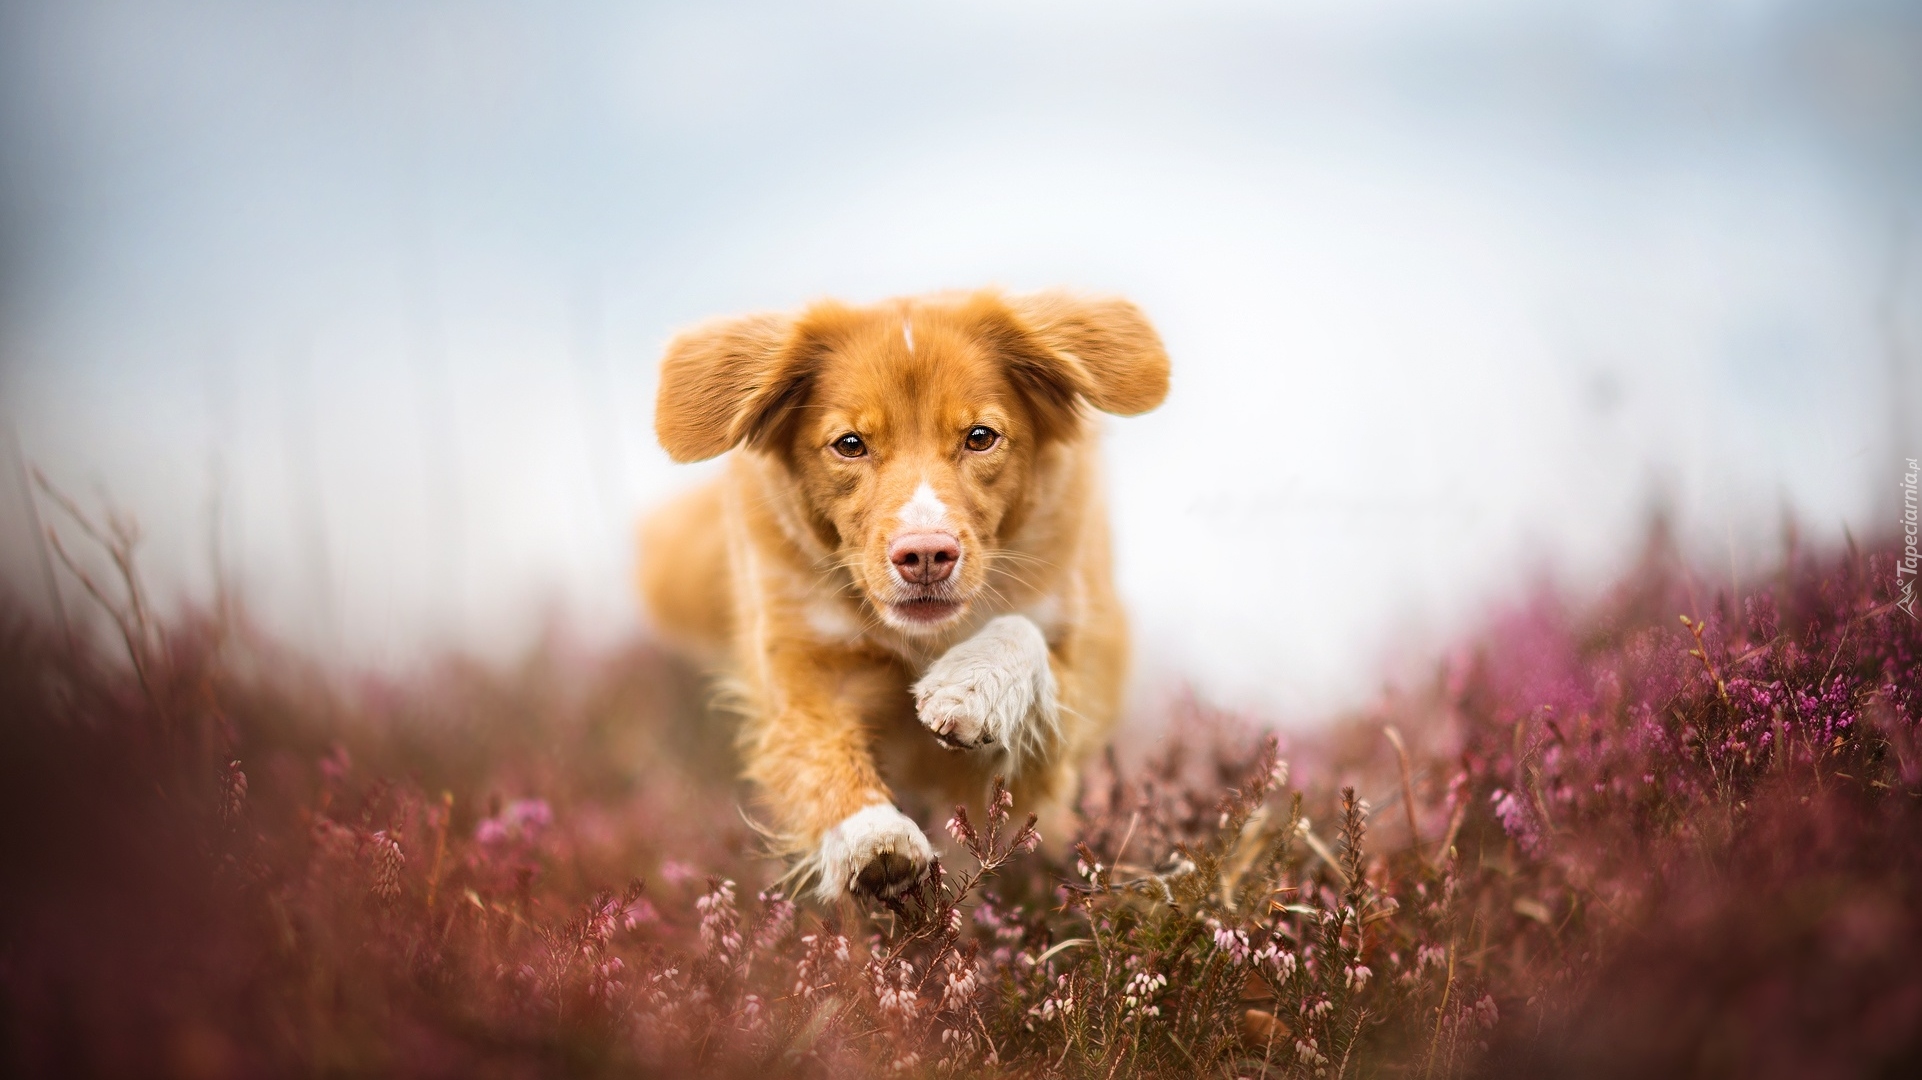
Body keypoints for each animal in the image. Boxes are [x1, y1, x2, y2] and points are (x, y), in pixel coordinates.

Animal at [638, 288, 1160, 899]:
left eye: (980, 437)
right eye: (849, 445)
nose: (927, 555)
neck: (923, 638)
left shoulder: (1054, 744)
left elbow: (1020, 631)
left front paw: (970, 686)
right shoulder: (801, 661)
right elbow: (820, 755)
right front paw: (872, 837)